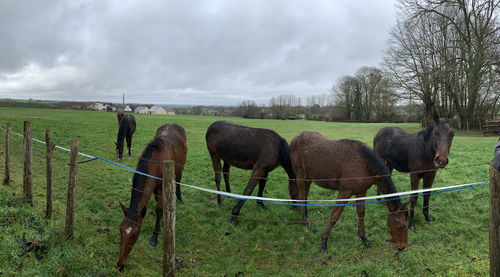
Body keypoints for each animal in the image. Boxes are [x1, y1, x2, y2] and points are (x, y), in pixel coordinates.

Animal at [117, 123, 188, 270]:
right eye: (120, 229)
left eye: (134, 234)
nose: (120, 264)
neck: (155, 161)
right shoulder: (155, 187)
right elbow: (159, 206)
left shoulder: (161, 185)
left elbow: (159, 208)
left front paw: (155, 237)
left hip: (180, 169)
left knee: (178, 181)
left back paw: (179, 198)